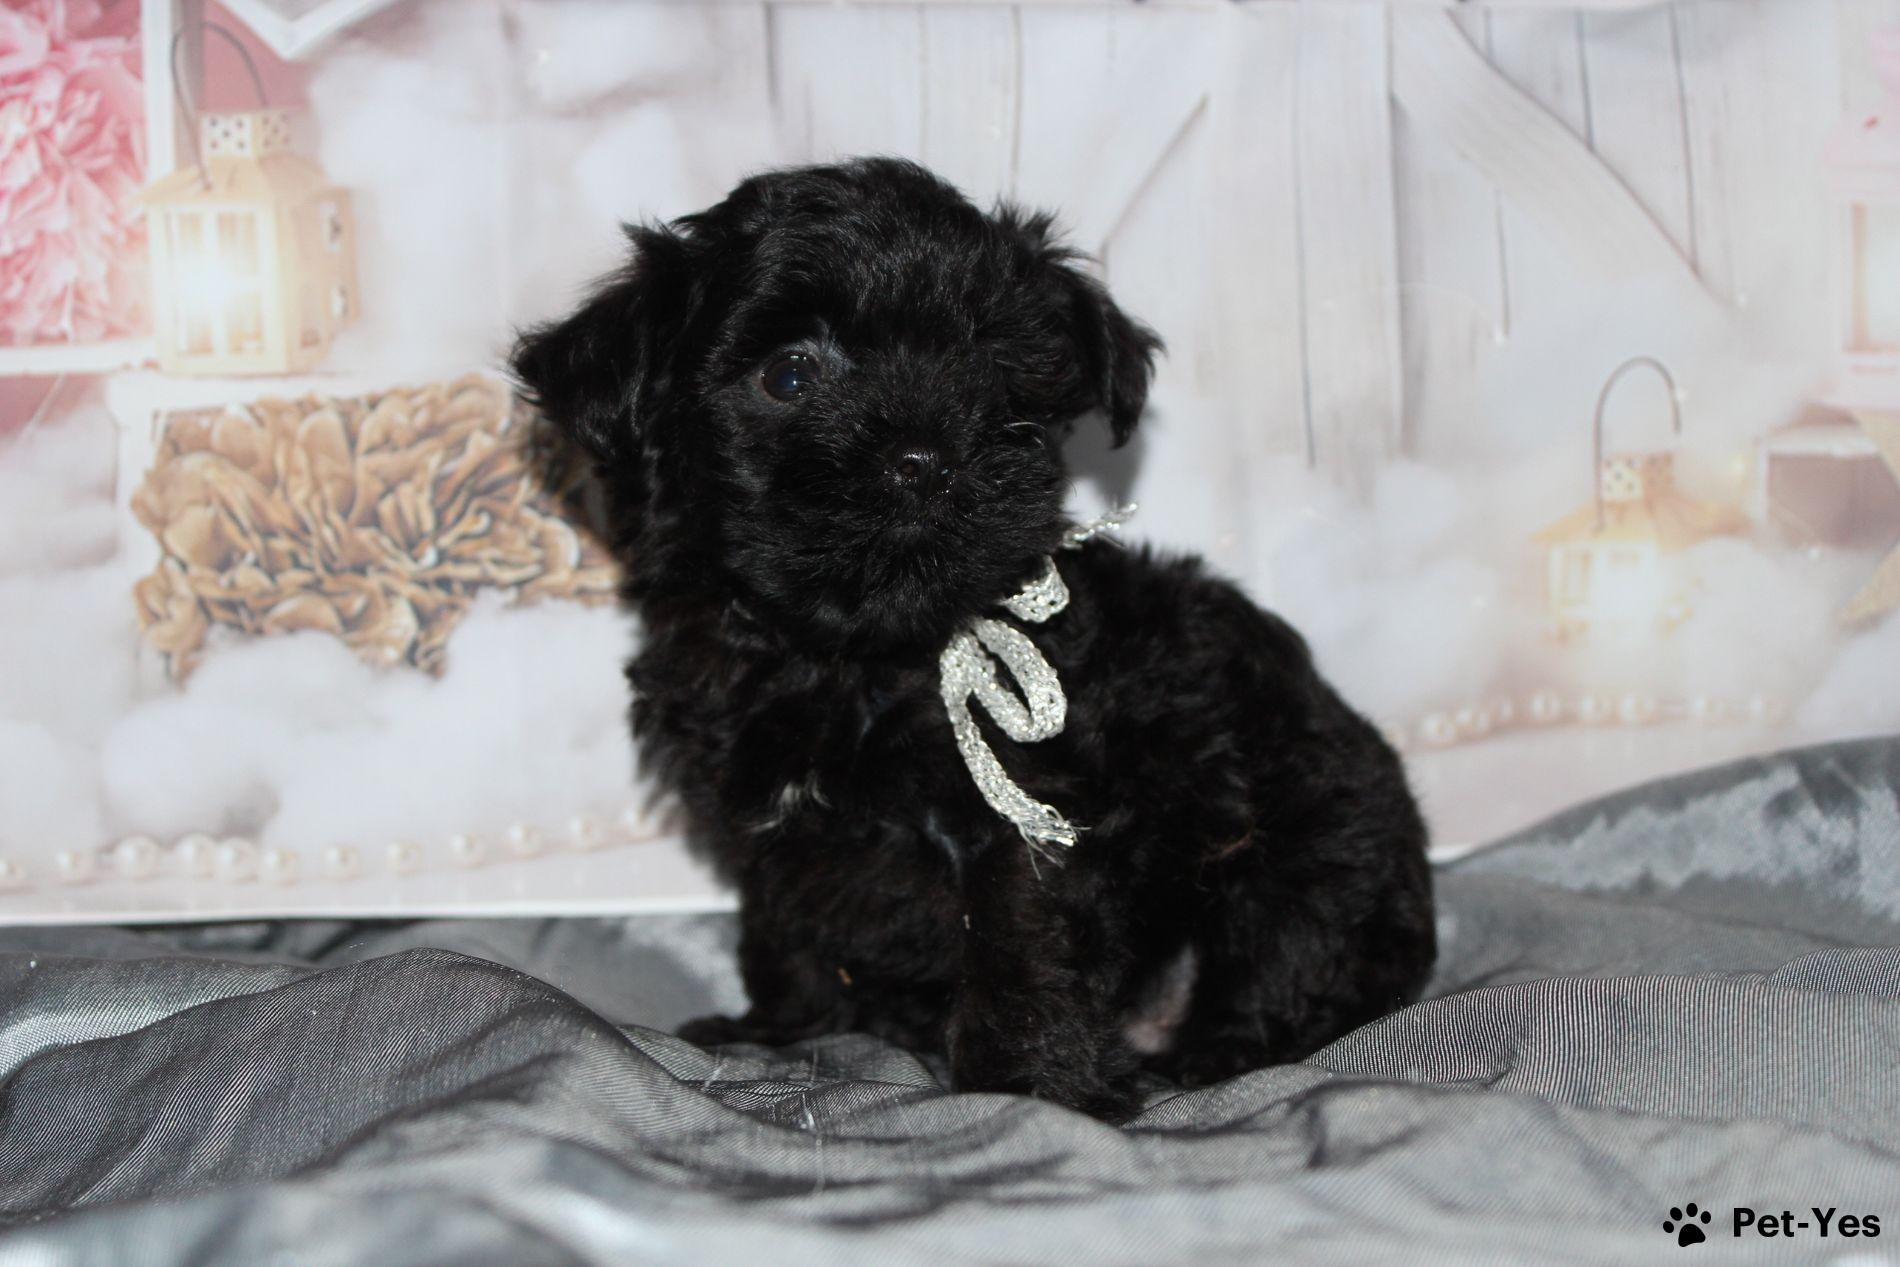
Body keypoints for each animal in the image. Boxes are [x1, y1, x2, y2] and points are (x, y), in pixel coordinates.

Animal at [512, 158, 1434, 1120]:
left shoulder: (1028, 819)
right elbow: (783, 926)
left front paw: (1026, 1087)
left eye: (991, 370)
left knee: (1287, 957)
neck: (848, 656)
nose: (923, 459)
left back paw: (1209, 1051)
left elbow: (1020, 948)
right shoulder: (769, 837)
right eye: (790, 376)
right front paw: (781, 1026)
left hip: (1303, 844)